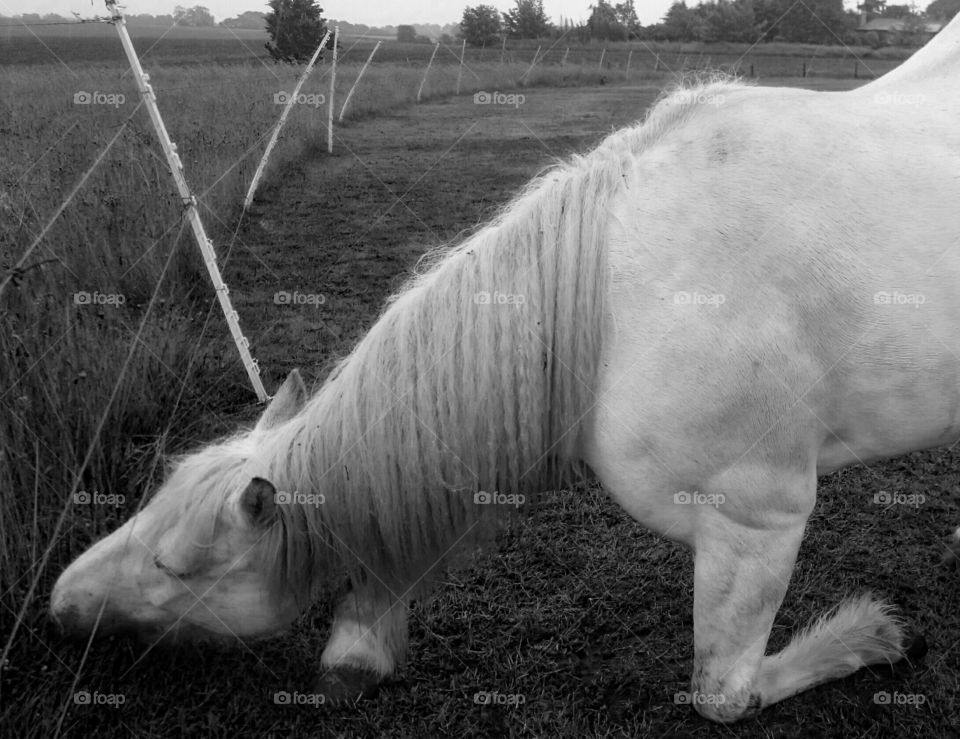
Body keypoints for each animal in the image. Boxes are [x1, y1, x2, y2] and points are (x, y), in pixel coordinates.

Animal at [50, 17, 960, 724]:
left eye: (176, 567)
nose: (60, 602)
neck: (620, 299)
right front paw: (359, 646)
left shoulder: (756, 520)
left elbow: (723, 695)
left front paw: (875, 634)